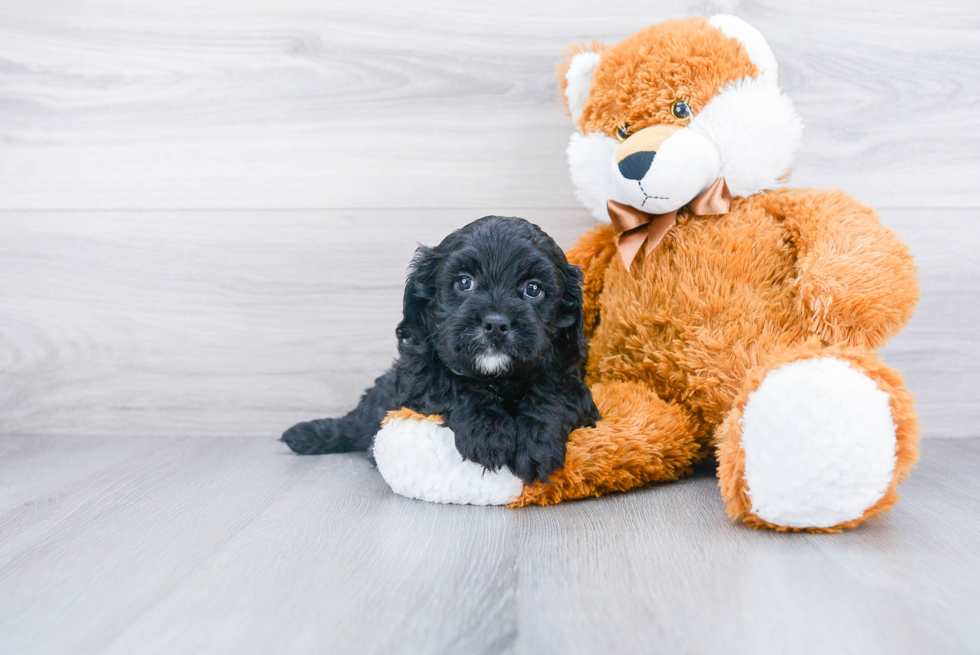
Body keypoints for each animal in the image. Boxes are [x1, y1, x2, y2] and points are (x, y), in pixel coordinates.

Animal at [282, 218, 596, 484]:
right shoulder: (417, 377)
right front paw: (489, 435)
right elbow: (455, 386)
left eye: (533, 289)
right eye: (464, 282)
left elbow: (552, 395)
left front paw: (537, 445)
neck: (496, 377)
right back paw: (307, 435)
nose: (495, 324)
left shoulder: (570, 379)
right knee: (356, 423)